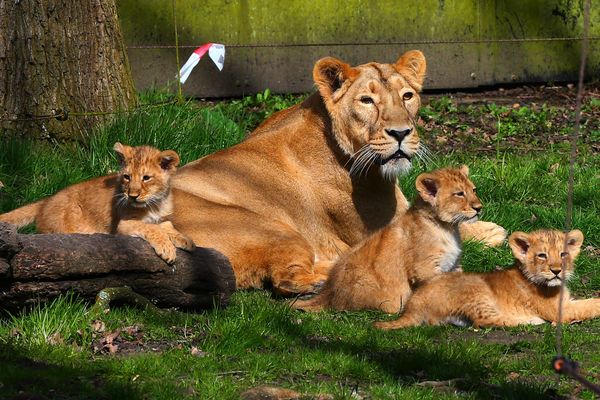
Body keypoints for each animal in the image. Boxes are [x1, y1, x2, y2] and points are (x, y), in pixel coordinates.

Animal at [170, 50, 506, 294]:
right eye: (367, 100)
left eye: (407, 96)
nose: (401, 133)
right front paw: (490, 230)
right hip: (268, 227)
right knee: (286, 280)